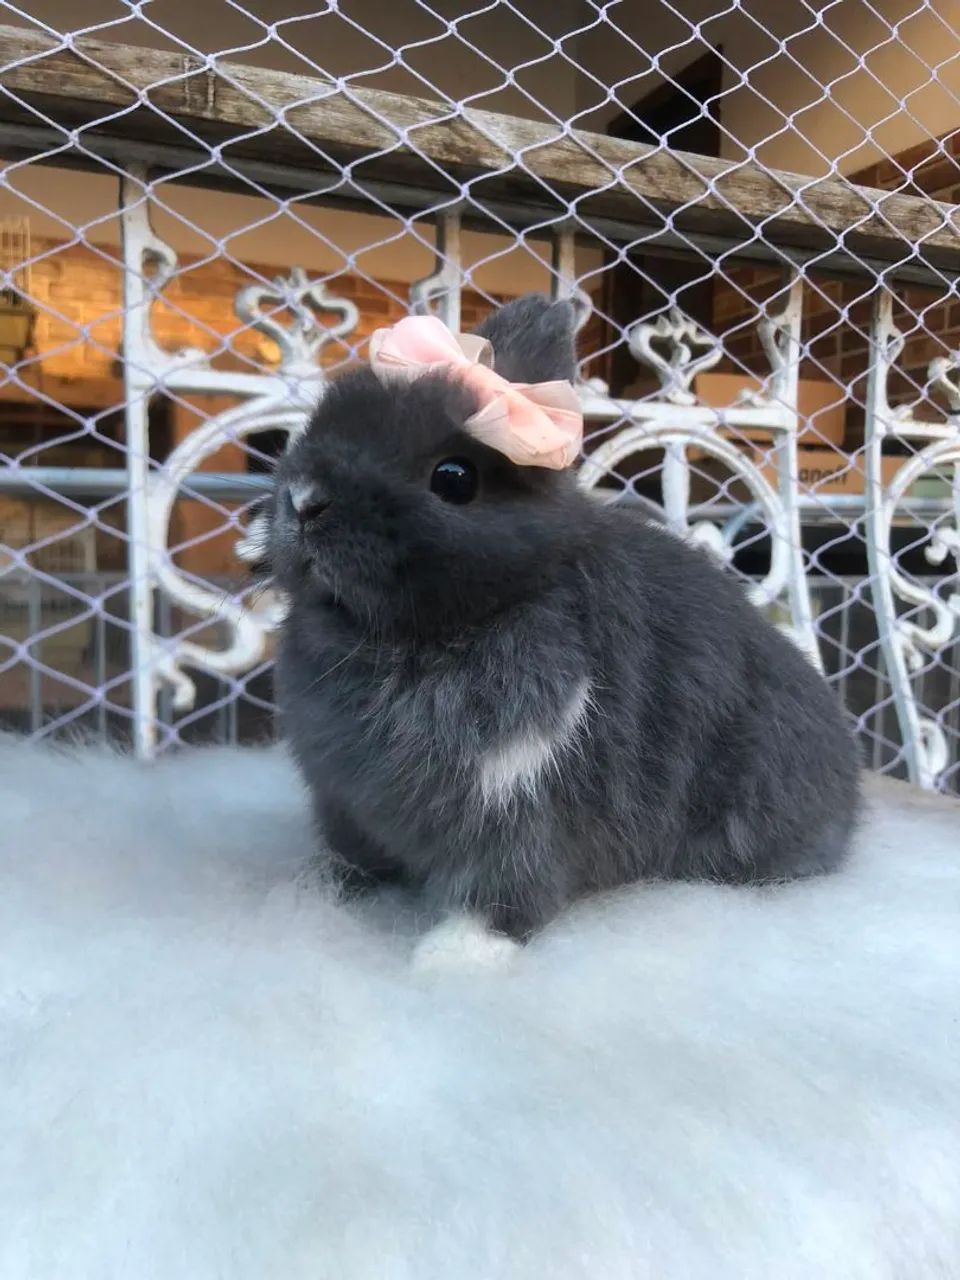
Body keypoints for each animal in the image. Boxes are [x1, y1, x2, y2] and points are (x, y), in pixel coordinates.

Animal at [252, 294, 861, 941]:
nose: (305, 500)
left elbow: (501, 895)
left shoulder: (515, 805)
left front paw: (455, 952)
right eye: (319, 425)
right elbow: (350, 857)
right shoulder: (342, 803)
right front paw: (318, 889)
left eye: (455, 478)